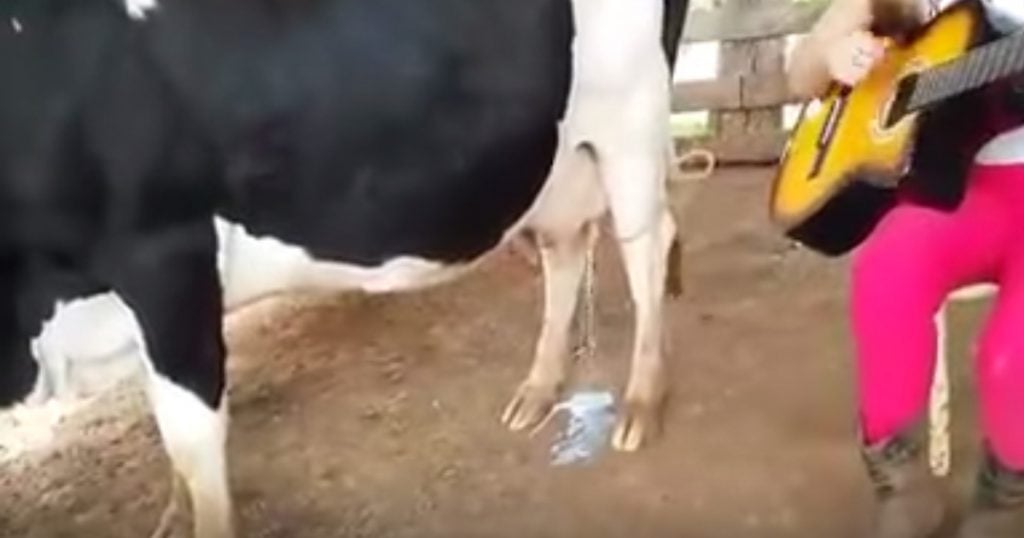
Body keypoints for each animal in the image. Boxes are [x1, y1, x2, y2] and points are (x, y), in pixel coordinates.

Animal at [4, 0, 692, 532]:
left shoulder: (167, 259)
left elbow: (192, 440)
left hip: (631, 119)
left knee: (648, 248)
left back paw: (640, 404)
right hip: (554, 157)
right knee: (566, 248)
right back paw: (538, 391)